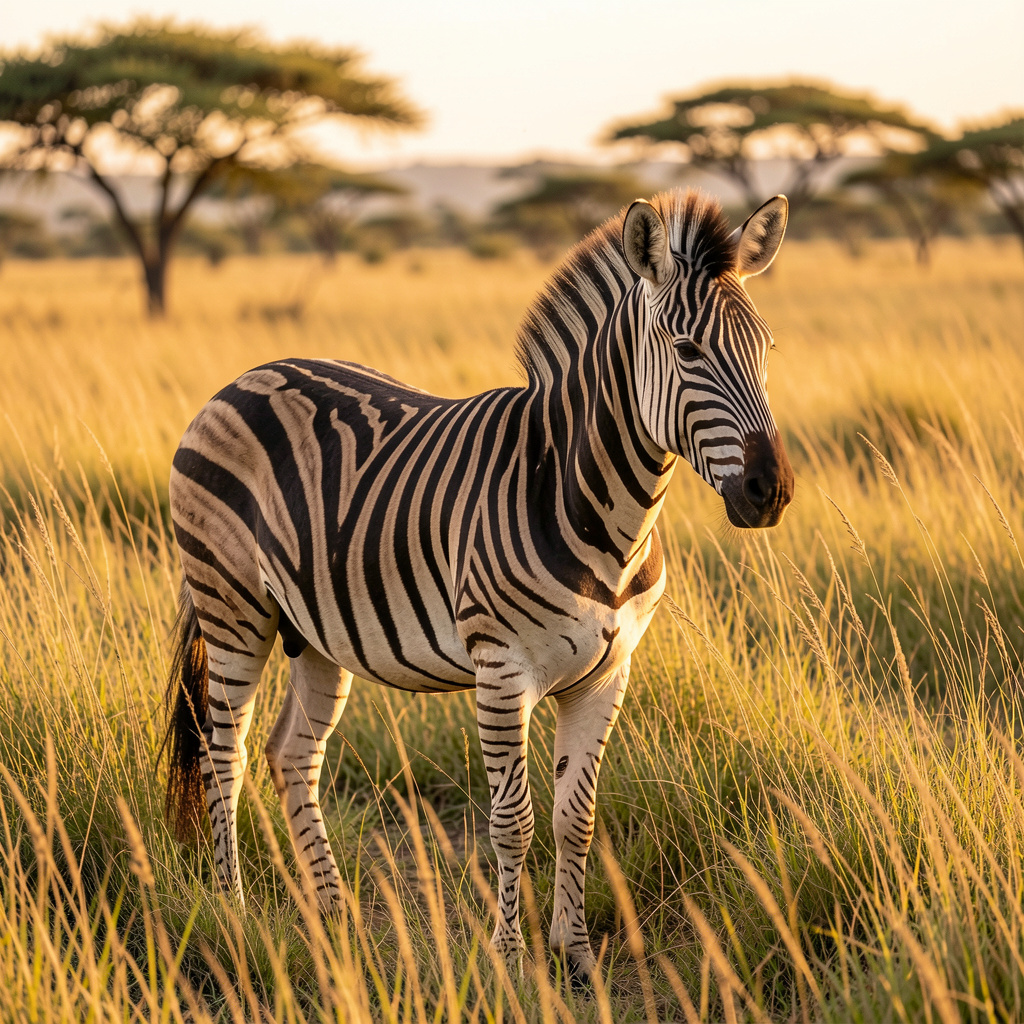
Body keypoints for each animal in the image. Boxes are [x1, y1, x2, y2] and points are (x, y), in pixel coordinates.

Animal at [163, 188, 794, 981]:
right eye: (687, 352)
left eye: (766, 350)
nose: (771, 492)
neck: (595, 506)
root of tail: (242, 378)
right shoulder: (501, 667)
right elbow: (513, 821)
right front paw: (510, 959)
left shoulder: (608, 672)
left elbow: (575, 817)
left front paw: (575, 956)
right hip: (233, 607)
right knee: (226, 754)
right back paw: (235, 909)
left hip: (315, 631)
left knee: (292, 757)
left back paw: (335, 918)